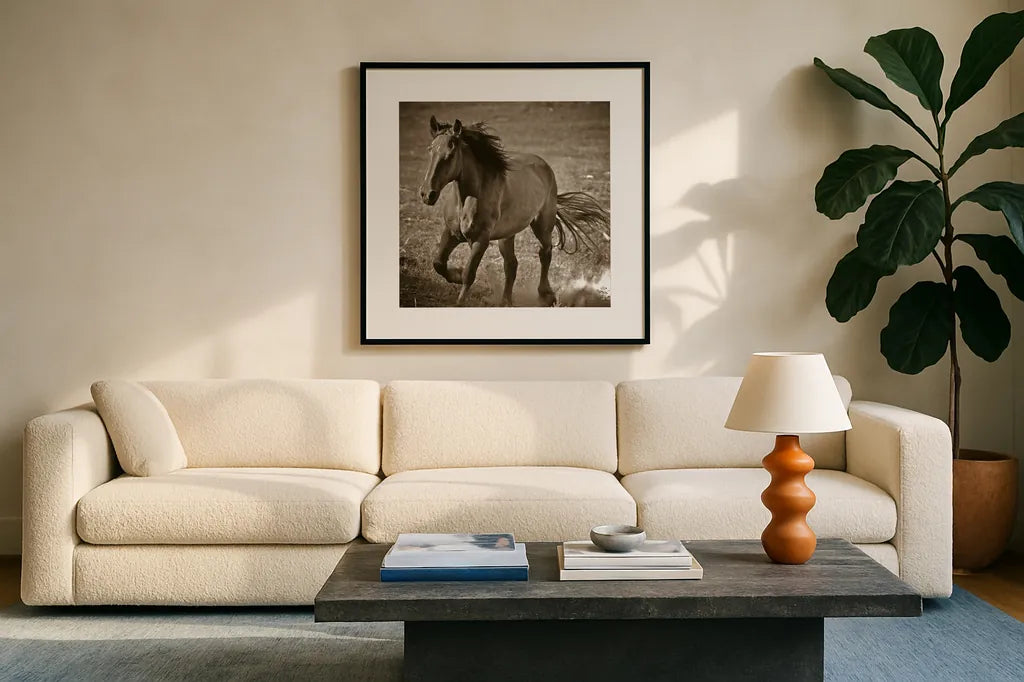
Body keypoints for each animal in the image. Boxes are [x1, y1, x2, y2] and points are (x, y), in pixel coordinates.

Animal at [417, 116, 609, 306]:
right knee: (511, 265)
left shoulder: (481, 240)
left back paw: (546, 295)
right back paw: (506, 301)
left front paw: (460, 298)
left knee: (544, 253)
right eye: (430, 150)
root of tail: (544, 166)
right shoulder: (451, 233)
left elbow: (469, 274)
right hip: (507, 235)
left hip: (542, 225)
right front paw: (455, 274)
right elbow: (438, 263)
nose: (427, 194)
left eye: (450, 154)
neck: (467, 199)